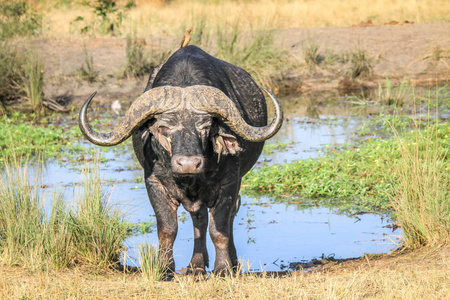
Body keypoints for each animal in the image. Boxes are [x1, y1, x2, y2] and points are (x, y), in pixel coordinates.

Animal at [77, 45, 282, 274]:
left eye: (205, 126)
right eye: (163, 127)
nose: (189, 164)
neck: (190, 179)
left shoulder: (229, 183)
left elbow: (220, 229)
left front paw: (223, 268)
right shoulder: (154, 183)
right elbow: (167, 229)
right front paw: (165, 268)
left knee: (226, 217)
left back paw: (232, 262)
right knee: (199, 220)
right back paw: (196, 265)